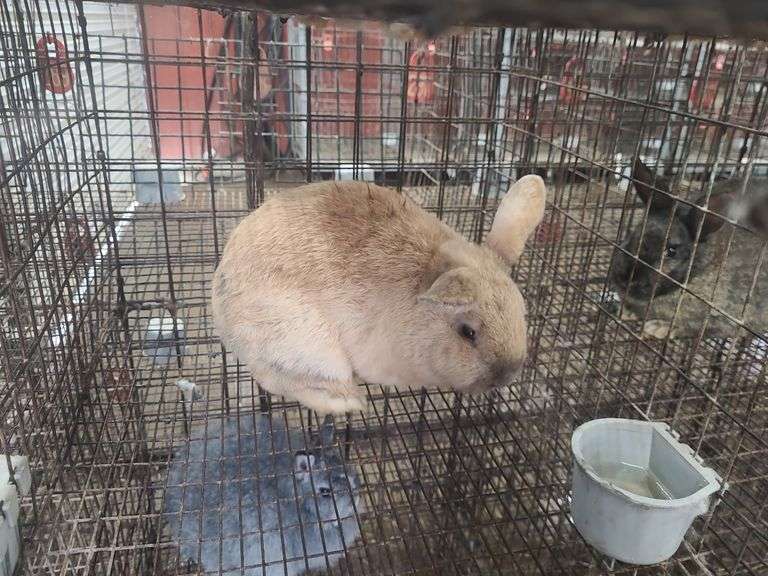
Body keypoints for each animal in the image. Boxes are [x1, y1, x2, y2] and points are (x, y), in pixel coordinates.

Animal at [211, 177, 546, 414]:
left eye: (522, 310)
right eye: (468, 332)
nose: (507, 375)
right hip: (309, 347)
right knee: (286, 381)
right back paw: (348, 403)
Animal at [609, 158, 768, 339]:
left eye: (672, 251)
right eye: (636, 233)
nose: (624, 280)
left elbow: (696, 328)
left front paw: (658, 328)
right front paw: (625, 312)